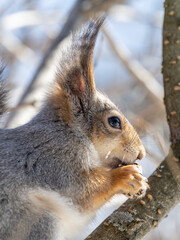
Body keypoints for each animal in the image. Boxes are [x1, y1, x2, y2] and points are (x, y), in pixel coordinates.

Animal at [0, 16, 148, 240]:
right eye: (114, 122)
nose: (141, 153)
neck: (69, 131)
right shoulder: (54, 158)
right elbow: (79, 193)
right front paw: (123, 177)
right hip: (34, 218)